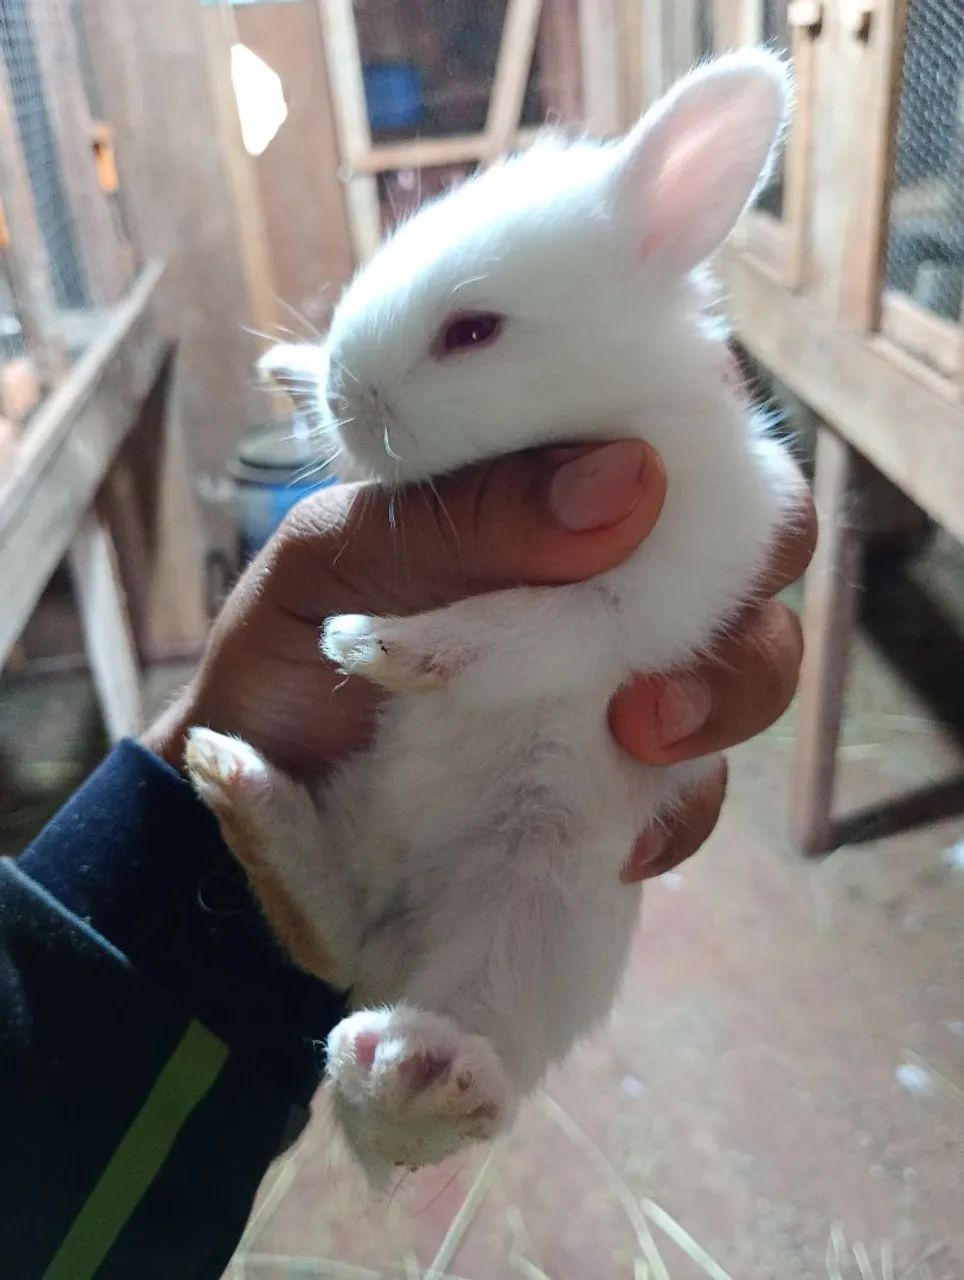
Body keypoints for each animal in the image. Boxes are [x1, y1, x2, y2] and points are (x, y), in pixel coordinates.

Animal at [185, 49, 803, 1181]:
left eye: (472, 331)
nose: (341, 395)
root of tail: (396, 943)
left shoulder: (651, 594)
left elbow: (531, 631)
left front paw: (377, 644)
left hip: (533, 914)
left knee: (427, 1070)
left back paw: (418, 1070)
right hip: (363, 837)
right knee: (322, 926)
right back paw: (234, 777)